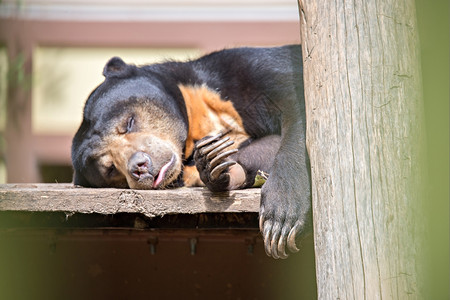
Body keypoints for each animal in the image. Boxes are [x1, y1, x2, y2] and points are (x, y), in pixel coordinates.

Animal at [72, 45, 312, 258]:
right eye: (110, 168)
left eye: (128, 123)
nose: (139, 167)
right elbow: (264, 147)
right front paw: (214, 163)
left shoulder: (256, 67)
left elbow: (299, 108)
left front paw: (281, 215)